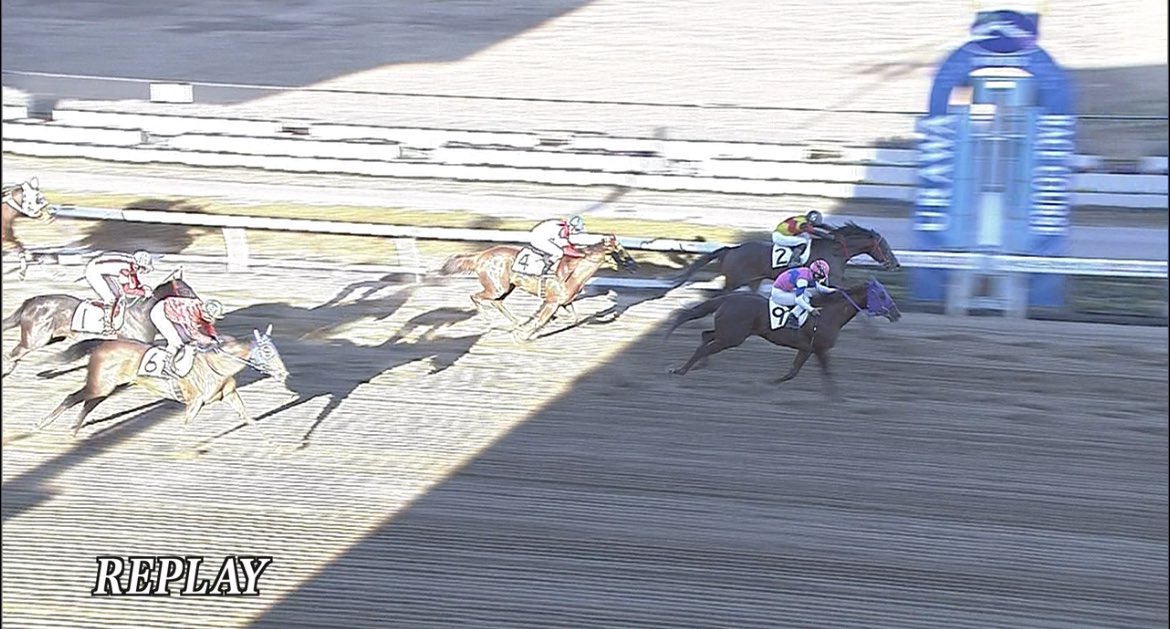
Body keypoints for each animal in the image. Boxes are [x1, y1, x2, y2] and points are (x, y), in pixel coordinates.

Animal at [1, 269, 197, 377]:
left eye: (190, 289)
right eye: (186, 291)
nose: (199, 303)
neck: (142, 314)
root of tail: (29, 303)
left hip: (52, 338)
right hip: (36, 339)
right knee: (15, 352)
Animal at [37, 325, 289, 437]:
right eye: (267, 351)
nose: (284, 374)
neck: (216, 364)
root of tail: (102, 344)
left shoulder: (229, 393)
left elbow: (245, 414)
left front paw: (257, 426)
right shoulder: (194, 402)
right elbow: (187, 423)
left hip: (107, 387)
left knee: (87, 404)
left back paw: (75, 428)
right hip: (100, 384)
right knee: (72, 398)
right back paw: (43, 424)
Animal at [439, 235, 638, 340]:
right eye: (620, 251)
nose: (635, 266)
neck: (572, 271)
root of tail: (480, 256)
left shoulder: (564, 302)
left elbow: (574, 318)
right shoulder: (552, 302)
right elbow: (540, 321)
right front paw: (524, 335)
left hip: (506, 286)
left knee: (498, 302)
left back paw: (516, 322)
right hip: (496, 287)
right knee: (476, 296)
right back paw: (491, 321)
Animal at [663, 278, 900, 397]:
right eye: (881, 295)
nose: (896, 313)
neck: (829, 314)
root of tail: (728, 298)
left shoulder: (807, 349)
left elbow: (792, 372)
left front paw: (768, 382)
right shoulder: (820, 349)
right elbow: (825, 373)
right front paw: (836, 397)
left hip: (728, 333)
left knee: (705, 336)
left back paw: (698, 366)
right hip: (732, 336)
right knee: (705, 346)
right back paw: (681, 370)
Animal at [669, 222, 901, 293]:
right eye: (884, 247)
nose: (896, 264)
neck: (835, 251)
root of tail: (731, 249)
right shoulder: (833, 281)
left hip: (752, 281)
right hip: (734, 281)